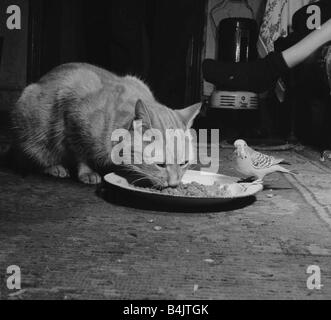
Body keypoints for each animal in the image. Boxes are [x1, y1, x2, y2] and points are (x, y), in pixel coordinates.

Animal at [11, 62, 202, 186]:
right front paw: (87, 172)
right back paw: (53, 167)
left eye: (184, 163)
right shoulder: (73, 117)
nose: (174, 184)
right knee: (35, 154)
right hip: (32, 127)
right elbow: (81, 154)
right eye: (160, 165)